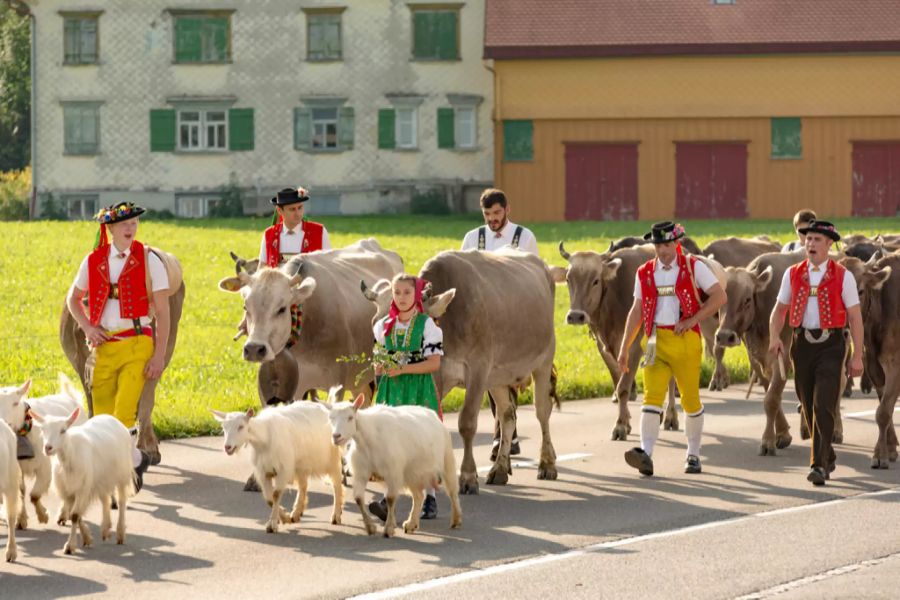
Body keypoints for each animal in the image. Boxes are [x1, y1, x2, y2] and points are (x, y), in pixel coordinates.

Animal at [0, 376, 86, 528]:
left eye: (15, 403)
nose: (4, 422)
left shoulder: (44, 467)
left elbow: (34, 495)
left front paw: (43, 516)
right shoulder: (17, 467)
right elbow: (21, 491)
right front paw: (21, 519)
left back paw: (63, 515)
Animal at [31, 406, 133, 556]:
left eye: (63, 430)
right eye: (43, 429)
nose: (48, 448)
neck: (70, 456)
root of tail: (111, 418)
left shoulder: (82, 489)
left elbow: (74, 515)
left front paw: (70, 546)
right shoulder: (68, 491)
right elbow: (76, 515)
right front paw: (87, 538)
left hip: (122, 474)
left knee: (121, 502)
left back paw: (120, 534)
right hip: (101, 478)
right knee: (105, 499)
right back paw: (106, 529)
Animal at [211, 400, 344, 532]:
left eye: (241, 426)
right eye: (224, 427)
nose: (227, 447)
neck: (264, 439)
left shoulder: (282, 470)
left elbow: (275, 495)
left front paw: (273, 524)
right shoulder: (264, 472)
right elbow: (268, 498)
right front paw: (284, 516)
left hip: (331, 458)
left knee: (337, 484)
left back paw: (336, 516)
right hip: (301, 464)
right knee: (303, 485)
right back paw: (296, 513)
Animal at [326, 392, 460, 536]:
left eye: (350, 417)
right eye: (331, 418)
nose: (336, 436)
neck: (368, 439)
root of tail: (433, 415)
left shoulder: (392, 472)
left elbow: (390, 498)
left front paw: (388, 529)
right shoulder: (361, 472)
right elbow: (358, 498)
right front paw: (370, 527)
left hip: (447, 460)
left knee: (452, 491)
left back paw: (456, 520)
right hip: (411, 472)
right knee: (418, 496)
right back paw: (411, 524)